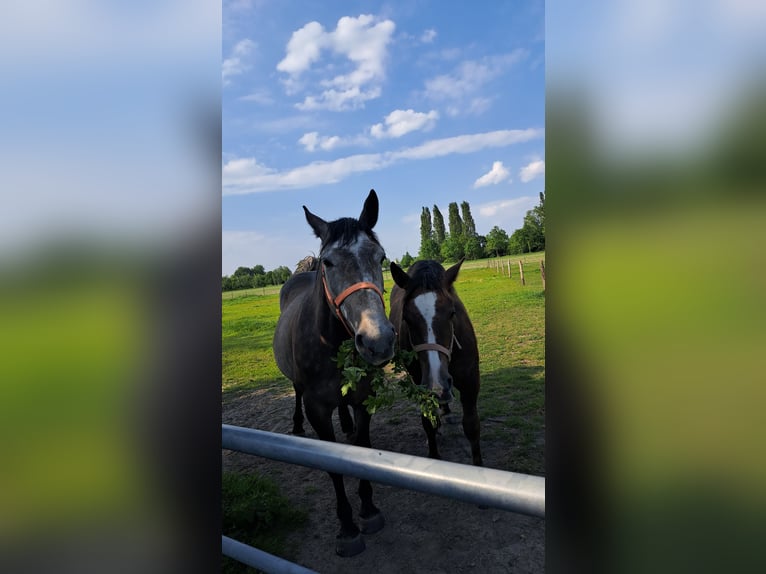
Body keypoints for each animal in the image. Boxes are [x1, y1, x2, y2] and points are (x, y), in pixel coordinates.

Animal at [272, 189, 396, 557]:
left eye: (381, 257)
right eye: (328, 262)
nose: (377, 341)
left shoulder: (365, 397)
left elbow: (362, 447)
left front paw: (368, 510)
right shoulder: (317, 409)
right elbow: (334, 465)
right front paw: (348, 527)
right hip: (299, 388)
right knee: (296, 393)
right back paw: (297, 425)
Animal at [389, 259, 483, 466]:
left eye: (452, 313)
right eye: (406, 318)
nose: (437, 386)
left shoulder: (470, 380)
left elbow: (471, 426)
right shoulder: (420, 384)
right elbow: (427, 422)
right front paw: (433, 454)